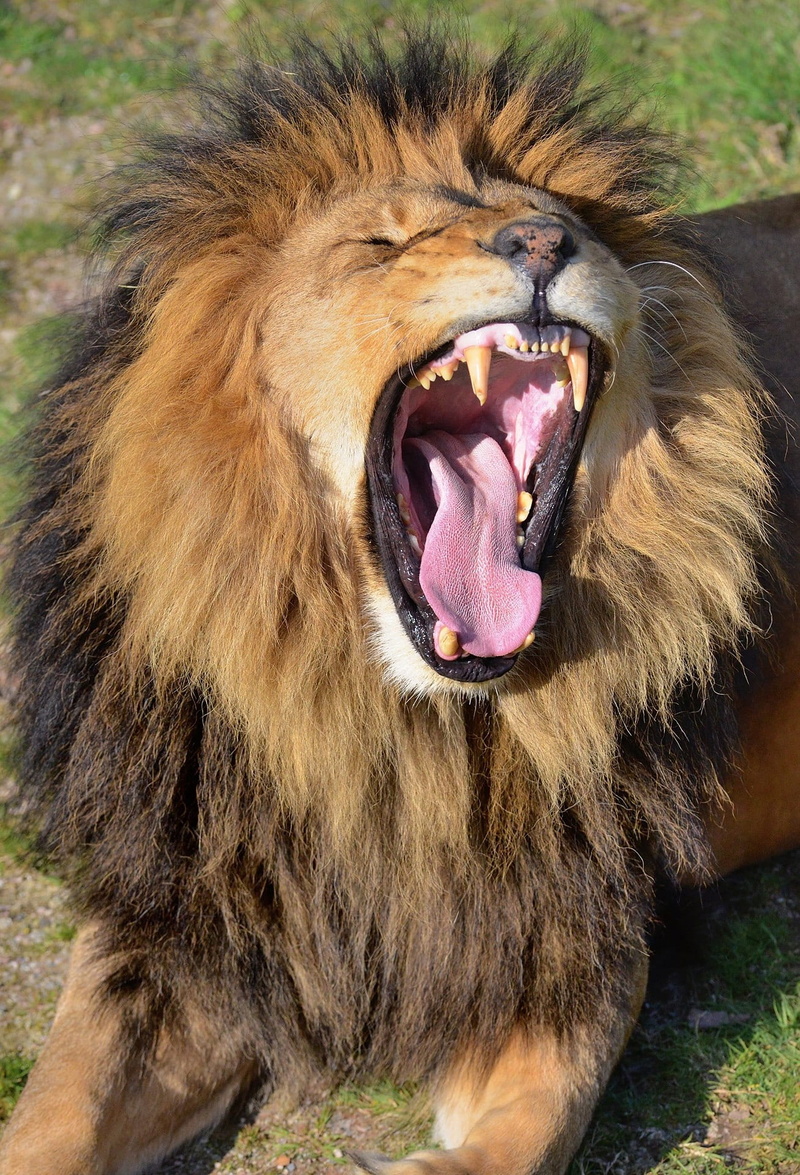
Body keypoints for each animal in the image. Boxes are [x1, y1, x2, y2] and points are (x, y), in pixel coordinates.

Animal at [1, 28, 799, 1175]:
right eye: (385, 241)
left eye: (567, 223)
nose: (544, 242)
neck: (384, 724)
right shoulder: (178, 913)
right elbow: (56, 1108)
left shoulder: (572, 926)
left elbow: (518, 1133)